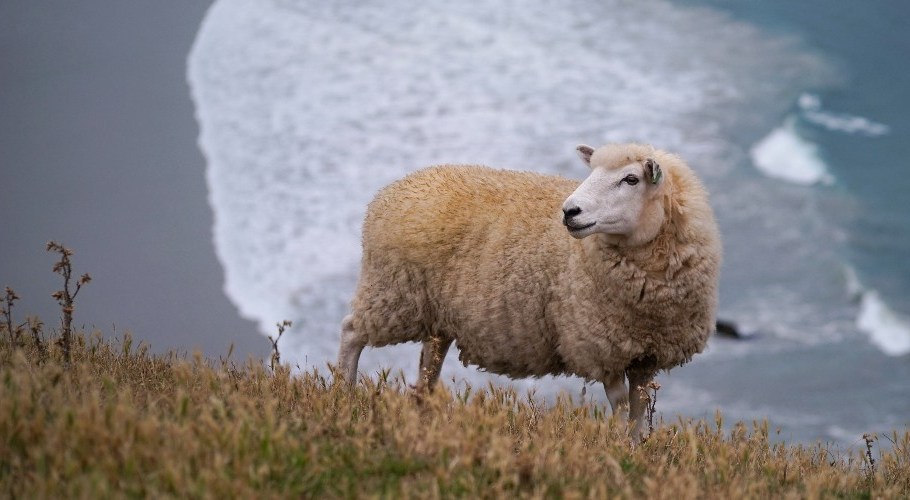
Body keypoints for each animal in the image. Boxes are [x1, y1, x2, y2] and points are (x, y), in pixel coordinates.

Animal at [337, 143, 721, 440]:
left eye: (631, 179)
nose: (570, 211)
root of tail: (393, 190)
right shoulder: (599, 345)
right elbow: (620, 406)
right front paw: (618, 449)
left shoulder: (647, 354)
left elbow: (638, 411)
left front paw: (636, 449)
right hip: (392, 293)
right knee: (351, 332)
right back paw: (344, 396)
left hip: (435, 316)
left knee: (427, 368)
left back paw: (423, 416)